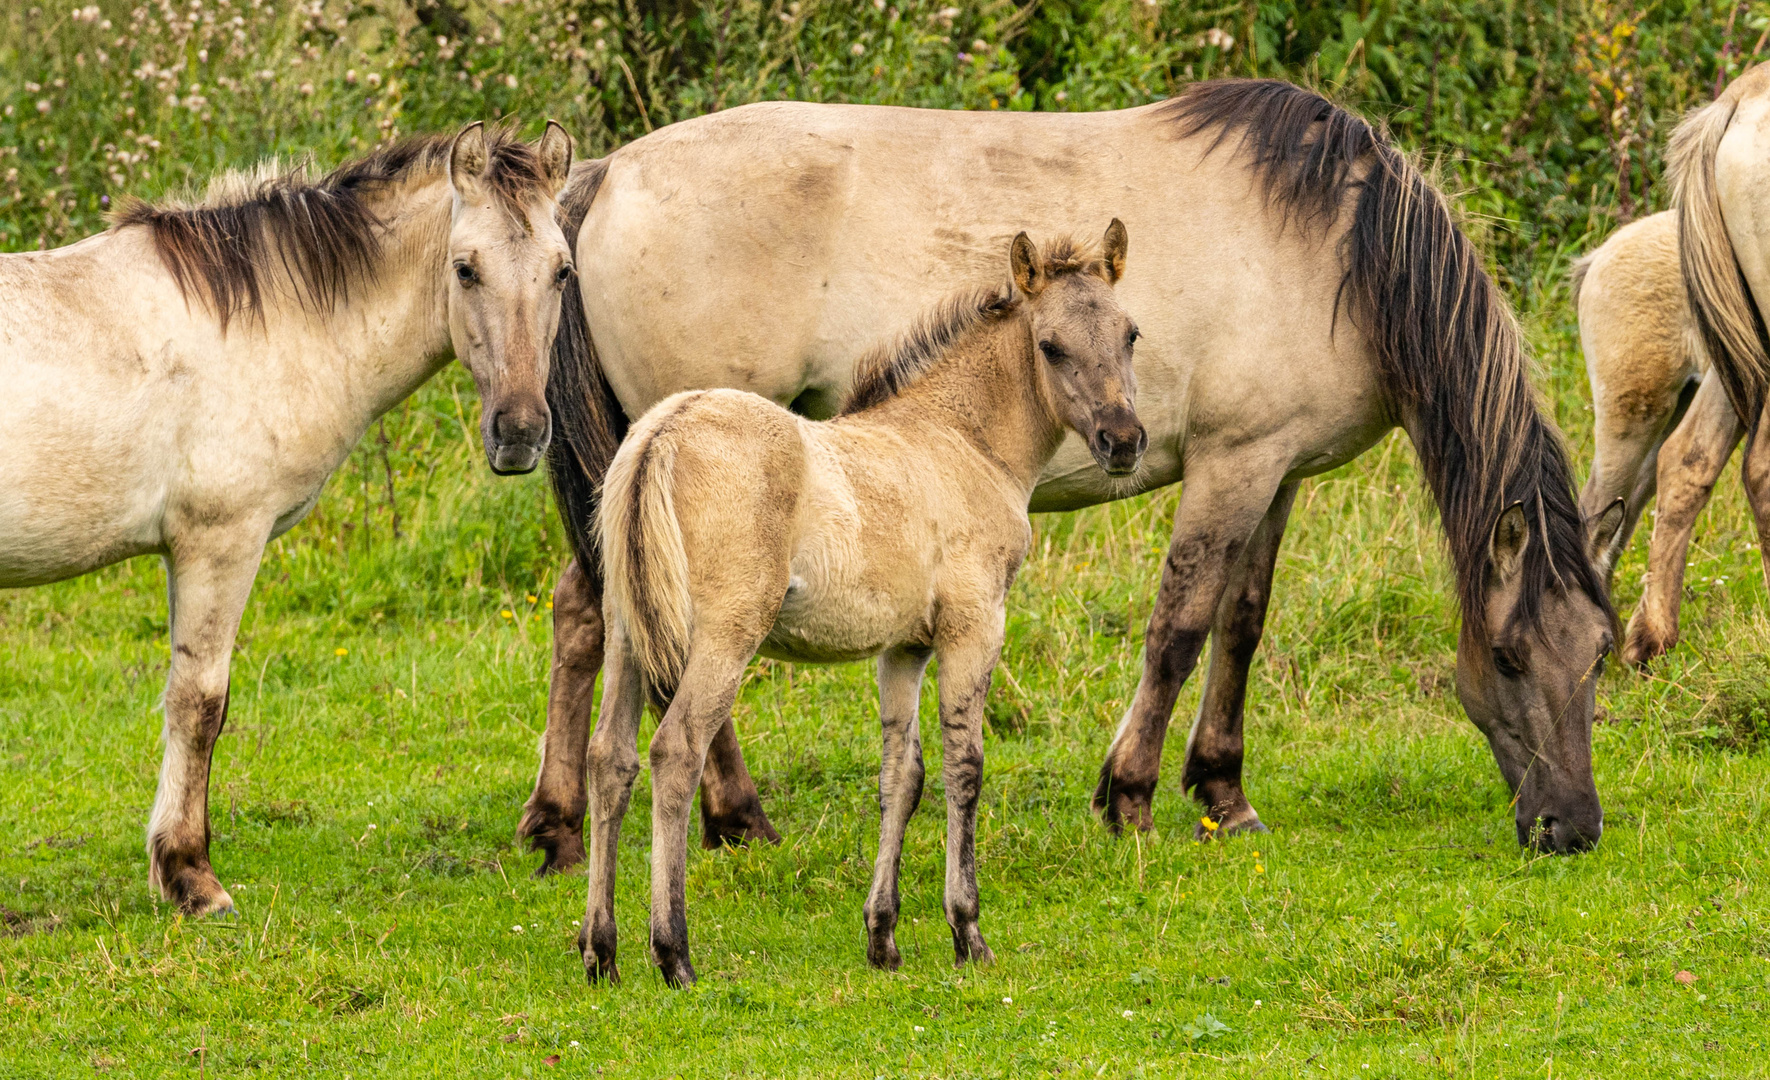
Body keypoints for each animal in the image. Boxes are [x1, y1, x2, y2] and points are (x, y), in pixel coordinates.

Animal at [0, 122, 573, 913]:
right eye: (465, 270)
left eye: (562, 273)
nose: (519, 432)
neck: (256, 329)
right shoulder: (220, 544)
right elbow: (199, 704)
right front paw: (191, 875)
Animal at [520, 79, 1621, 867]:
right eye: (1508, 657)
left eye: (1600, 654)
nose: (1570, 827)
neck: (1335, 248)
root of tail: (606, 176)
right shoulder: (1232, 466)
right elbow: (1180, 626)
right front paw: (1129, 795)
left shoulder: (1277, 471)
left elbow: (1242, 625)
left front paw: (1224, 793)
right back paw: (735, 815)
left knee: (589, 611)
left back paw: (560, 822)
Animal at [580, 220, 1146, 984]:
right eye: (1051, 346)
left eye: (1130, 334)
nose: (1124, 441)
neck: (961, 440)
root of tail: (661, 432)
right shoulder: (974, 627)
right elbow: (965, 768)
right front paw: (968, 931)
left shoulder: (903, 647)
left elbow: (901, 776)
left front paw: (883, 938)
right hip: (725, 635)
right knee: (675, 751)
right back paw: (674, 954)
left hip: (629, 633)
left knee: (610, 760)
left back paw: (600, 954)